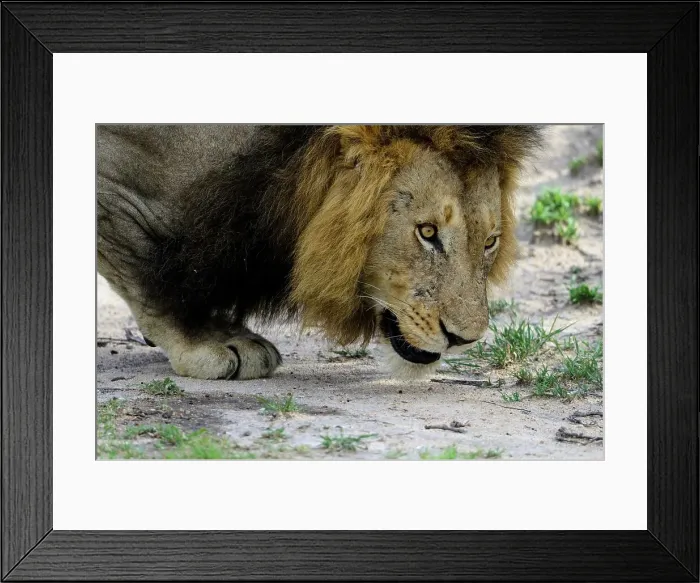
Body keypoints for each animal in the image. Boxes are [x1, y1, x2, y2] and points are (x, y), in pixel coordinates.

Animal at [97, 125, 541, 380]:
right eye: (427, 232)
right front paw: (204, 341)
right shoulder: (116, 186)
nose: (463, 340)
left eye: (490, 241)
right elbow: (144, 268)